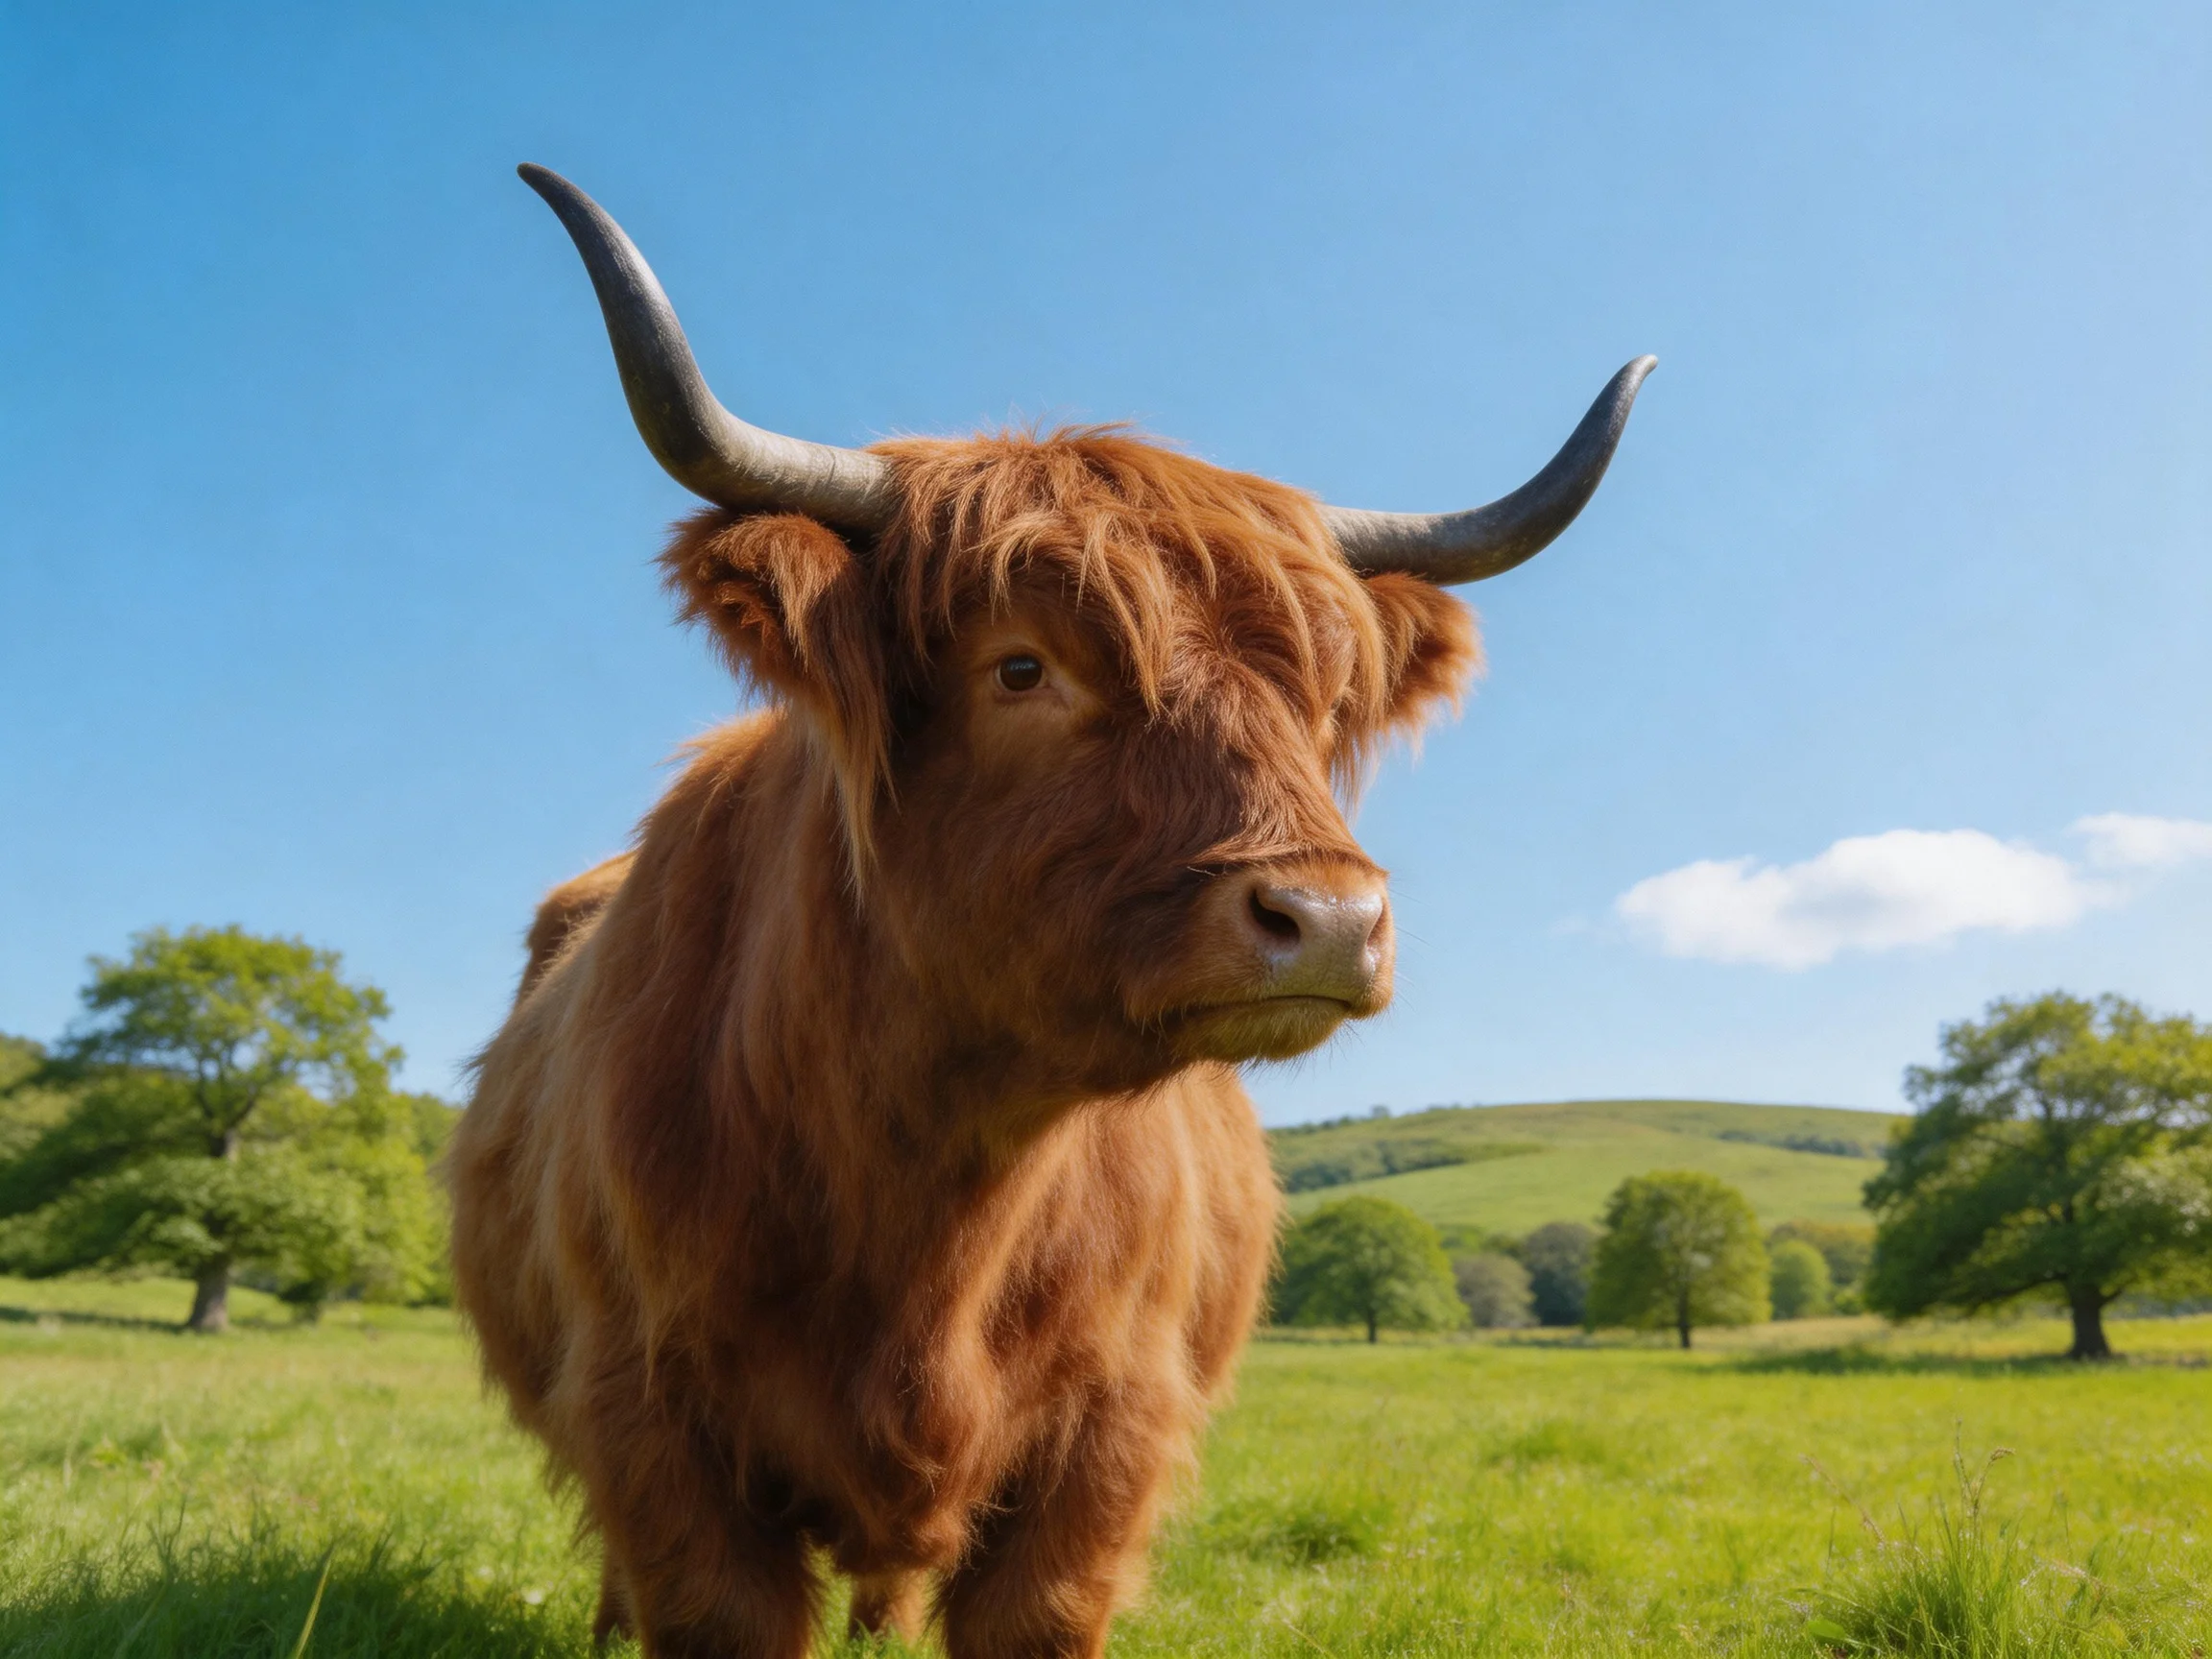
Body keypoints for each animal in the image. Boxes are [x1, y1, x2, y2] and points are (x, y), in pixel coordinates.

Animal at [449, 163, 1651, 1659]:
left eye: (1323, 701)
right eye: (1022, 668)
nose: (1326, 916)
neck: (933, 1184)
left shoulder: (1109, 1437)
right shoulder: (650, 1412)